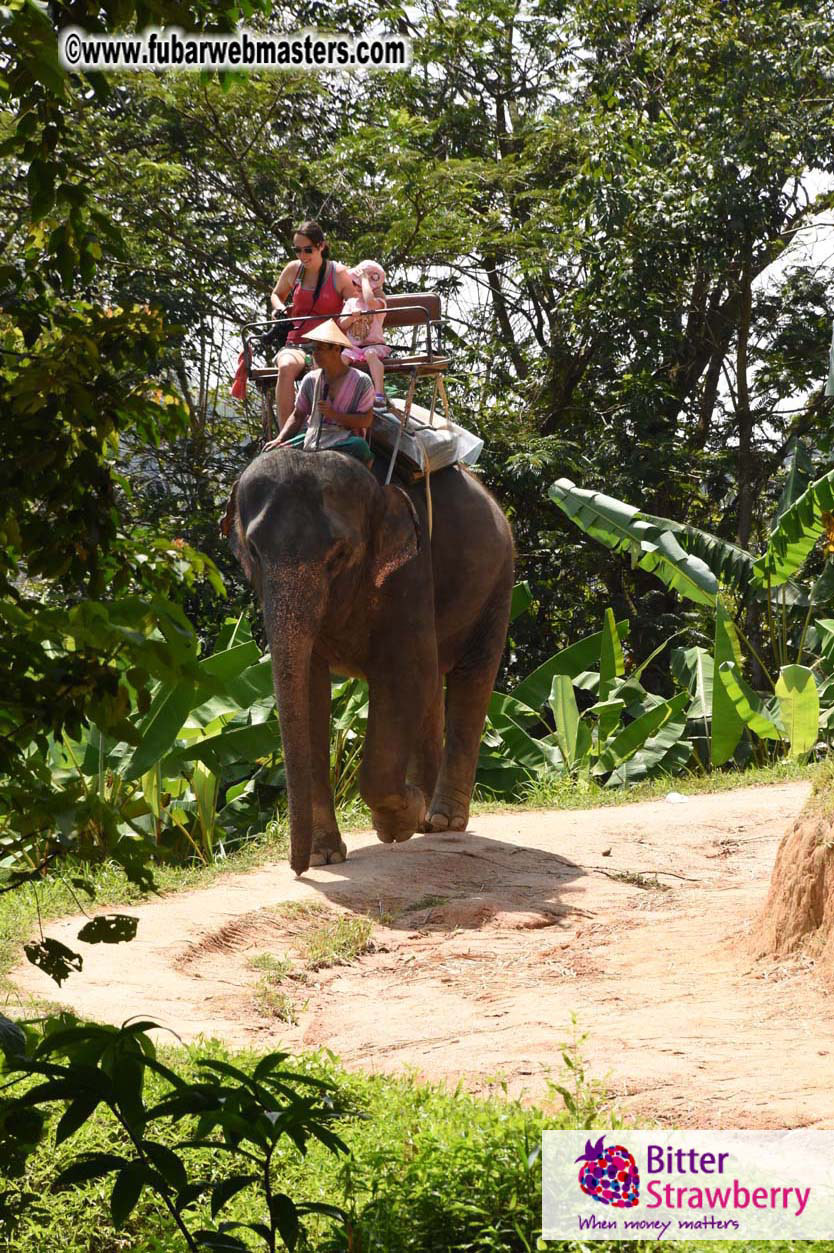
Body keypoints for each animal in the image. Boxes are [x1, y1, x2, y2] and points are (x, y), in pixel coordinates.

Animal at [228, 447, 514, 875]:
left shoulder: (410, 571)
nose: (298, 869)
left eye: (339, 554)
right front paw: (324, 856)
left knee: (471, 676)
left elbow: (405, 674)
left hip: (498, 583)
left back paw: (442, 820)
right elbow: (310, 692)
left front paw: (398, 823)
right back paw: (427, 821)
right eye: (254, 551)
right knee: (433, 685)